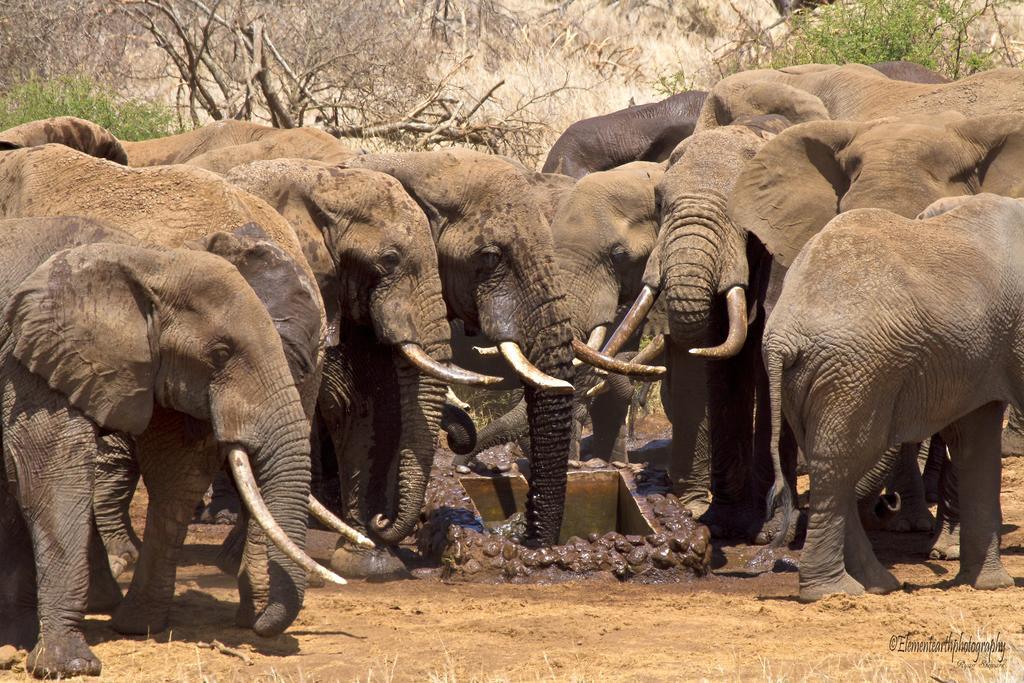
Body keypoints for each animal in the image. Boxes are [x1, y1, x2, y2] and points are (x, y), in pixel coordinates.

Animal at [765, 193, 1019, 602]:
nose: (890, 502)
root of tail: (781, 337)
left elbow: (975, 443)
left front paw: (989, 585)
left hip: (809, 380)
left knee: (833, 466)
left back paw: (874, 585)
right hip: (855, 372)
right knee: (840, 464)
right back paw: (833, 593)